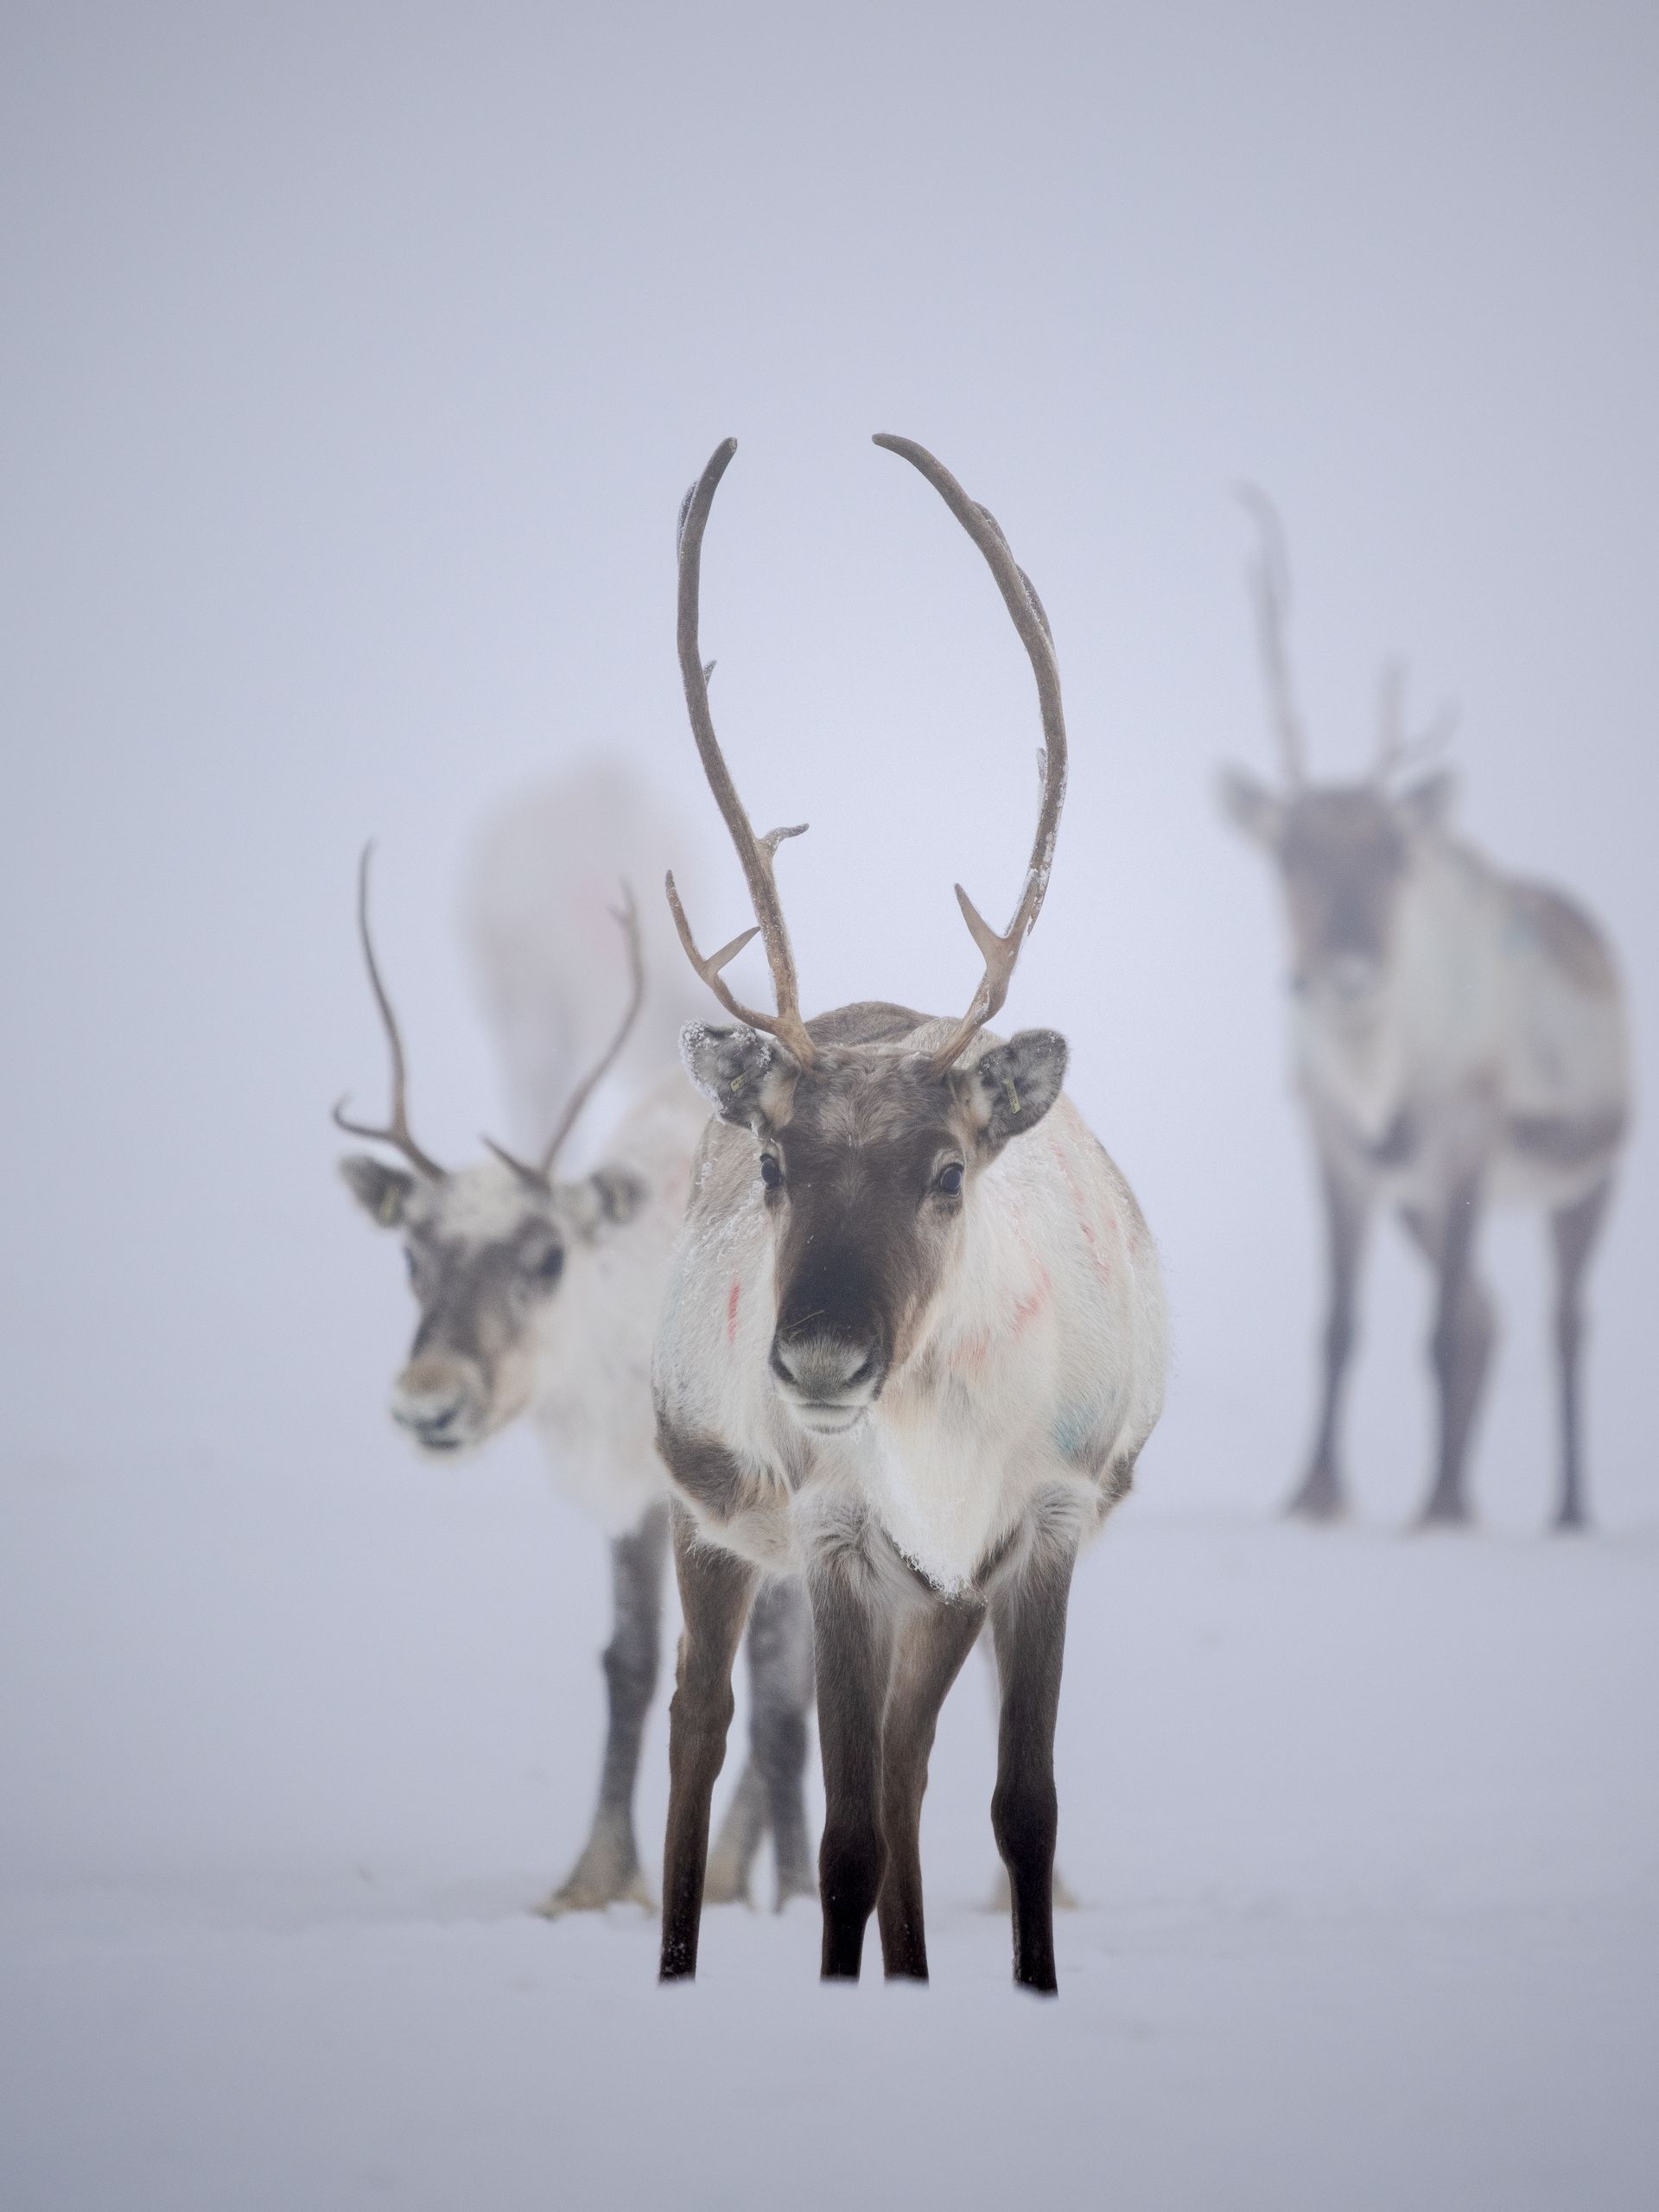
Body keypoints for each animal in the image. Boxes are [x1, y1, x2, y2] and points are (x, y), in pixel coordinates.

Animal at [332, 815, 817, 1918]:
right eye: (412, 1255)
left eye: (548, 1256)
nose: (428, 1404)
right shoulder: (641, 1500)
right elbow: (630, 1661)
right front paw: (598, 1881)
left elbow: (779, 1686)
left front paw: (796, 1896)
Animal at [650, 436, 1167, 1996]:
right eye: (774, 1163)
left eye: (949, 1171)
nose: (821, 1357)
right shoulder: (832, 1537)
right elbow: (839, 1836)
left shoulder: (1037, 1531)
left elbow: (1018, 1806)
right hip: (707, 1514)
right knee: (699, 1737)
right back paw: (677, 1967)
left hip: (936, 1596)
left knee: (908, 1764)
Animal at [1220, 490, 1630, 1532]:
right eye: (1291, 854)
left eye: (1395, 853)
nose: (1349, 970)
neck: (1379, 1077)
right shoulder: (1339, 1146)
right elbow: (1340, 1323)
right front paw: (1316, 1493)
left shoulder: (1469, 1133)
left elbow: (1438, 1329)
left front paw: (1438, 1508)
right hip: (1419, 1200)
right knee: (1489, 1312)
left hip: (1589, 1171)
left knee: (1563, 1321)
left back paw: (1566, 1509)